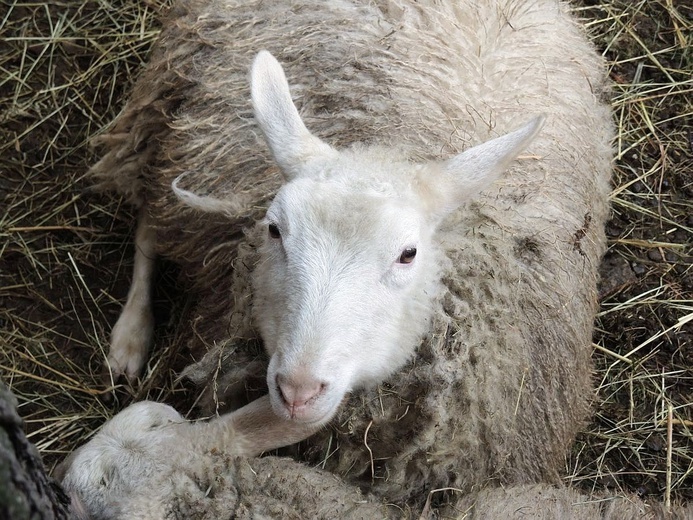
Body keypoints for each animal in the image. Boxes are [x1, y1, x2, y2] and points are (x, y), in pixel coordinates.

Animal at [84, 0, 612, 512]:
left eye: (408, 254)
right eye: (274, 230)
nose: (297, 391)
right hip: (174, 109)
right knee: (149, 221)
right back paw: (128, 341)